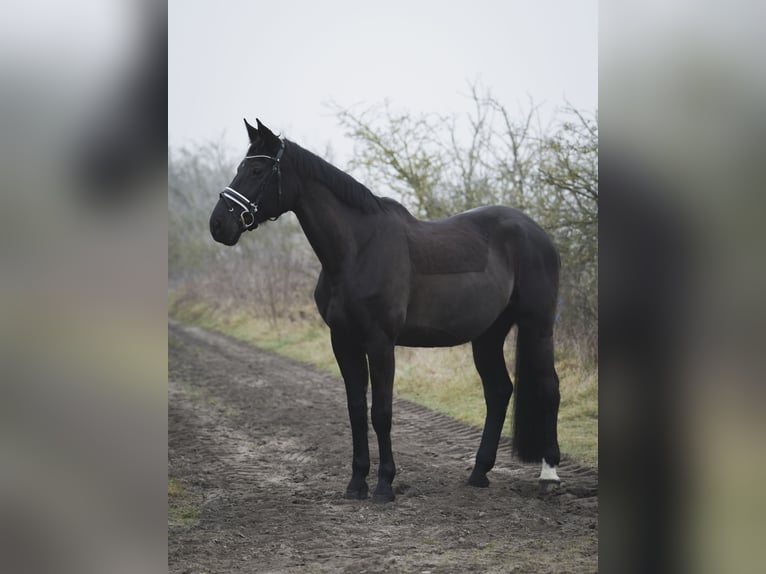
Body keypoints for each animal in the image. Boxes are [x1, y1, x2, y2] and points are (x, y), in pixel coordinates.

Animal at [210, 118, 564, 504]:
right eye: (241, 167)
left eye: (257, 170)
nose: (218, 225)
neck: (357, 250)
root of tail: (536, 232)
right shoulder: (343, 341)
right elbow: (355, 410)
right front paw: (356, 483)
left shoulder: (380, 343)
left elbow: (381, 412)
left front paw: (383, 485)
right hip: (488, 334)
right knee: (498, 392)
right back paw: (478, 473)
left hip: (538, 326)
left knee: (548, 387)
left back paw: (549, 476)